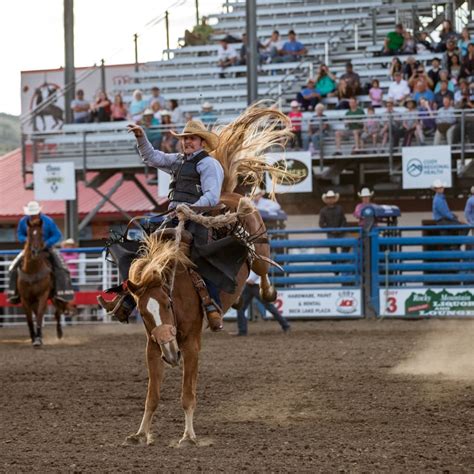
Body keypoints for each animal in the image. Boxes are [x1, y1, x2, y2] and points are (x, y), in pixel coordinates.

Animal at [18, 217, 66, 346]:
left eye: (41, 234)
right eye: (29, 234)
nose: (34, 251)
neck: (32, 271)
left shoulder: (43, 295)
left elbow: (39, 315)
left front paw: (38, 340)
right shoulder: (25, 298)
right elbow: (30, 320)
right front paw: (34, 338)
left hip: (53, 297)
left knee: (57, 312)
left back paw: (59, 333)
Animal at [121, 193, 274, 444]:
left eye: (167, 303)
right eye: (142, 312)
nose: (171, 355)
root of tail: (229, 195)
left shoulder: (191, 345)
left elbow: (187, 395)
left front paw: (188, 436)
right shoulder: (153, 347)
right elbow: (152, 397)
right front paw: (140, 434)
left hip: (260, 249)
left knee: (263, 268)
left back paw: (269, 291)